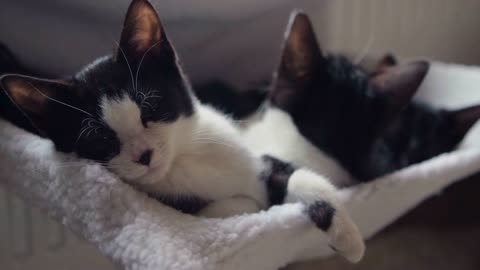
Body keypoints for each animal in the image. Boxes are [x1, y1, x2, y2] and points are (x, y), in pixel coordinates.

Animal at [0, 0, 366, 262]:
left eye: (150, 108)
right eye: (99, 138)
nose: (144, 155)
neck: (186, 161)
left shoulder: (253, 157)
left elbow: (293, 174)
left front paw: (348, 235)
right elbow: (232, 209)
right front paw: (253, 204)